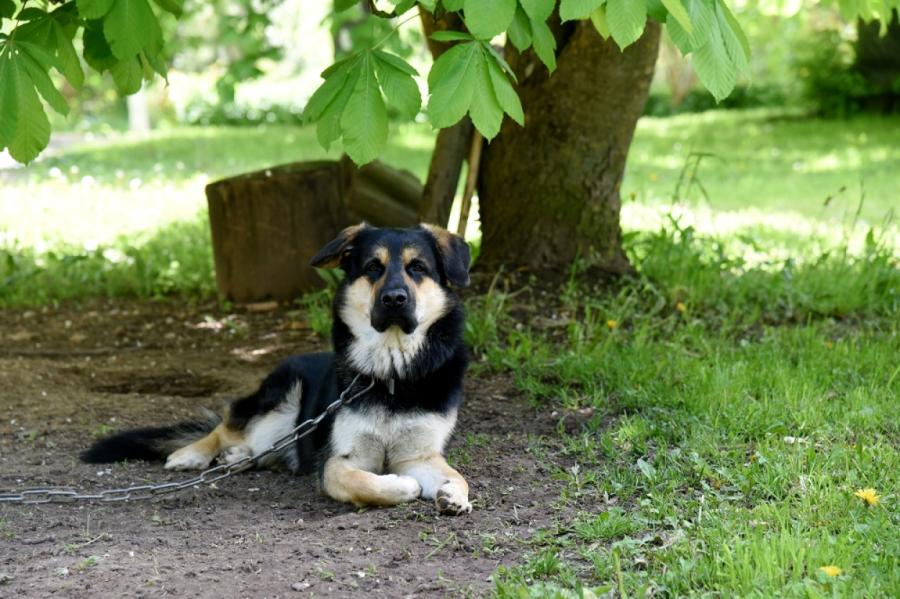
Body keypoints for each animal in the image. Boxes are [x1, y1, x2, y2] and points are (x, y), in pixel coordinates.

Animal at [84, 224, 474, 516]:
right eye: (372, 268)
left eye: (417, 267)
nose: (394, 299)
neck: (391, 372)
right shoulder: (339, 460)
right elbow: (364, 482)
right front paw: (402, 486)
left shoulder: (420, 454)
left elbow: (457, 474)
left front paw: (453, 493)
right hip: (279, 395)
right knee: (226, 427)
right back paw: (192, 454)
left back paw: (237, 459)